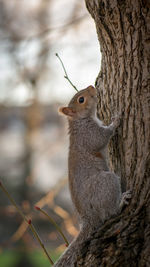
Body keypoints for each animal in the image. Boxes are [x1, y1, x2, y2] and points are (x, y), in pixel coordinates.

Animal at [55, 86, 131, 267]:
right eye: (81, 100)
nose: (92, 86)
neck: (80, 121)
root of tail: (88, 219)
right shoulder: (89, 135)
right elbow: (102, 138)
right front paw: (116, 120)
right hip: (106, 183)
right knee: (109, 213)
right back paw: (121, 202)